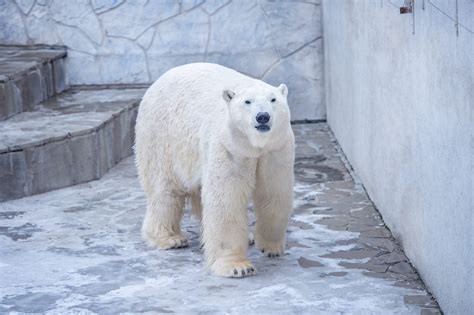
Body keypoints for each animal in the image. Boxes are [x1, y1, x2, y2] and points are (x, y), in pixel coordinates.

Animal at [135, 63, 294, 278]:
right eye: (247, 101)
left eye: (273, 99)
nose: (263, 117)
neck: (255, 146)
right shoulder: (229, 147)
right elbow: (226, 198)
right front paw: (237, 267)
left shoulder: (276, 149)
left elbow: (274, 193)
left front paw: (271, 247)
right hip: (162, 137)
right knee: (165, 191)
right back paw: (169, 238)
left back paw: (246, 237)